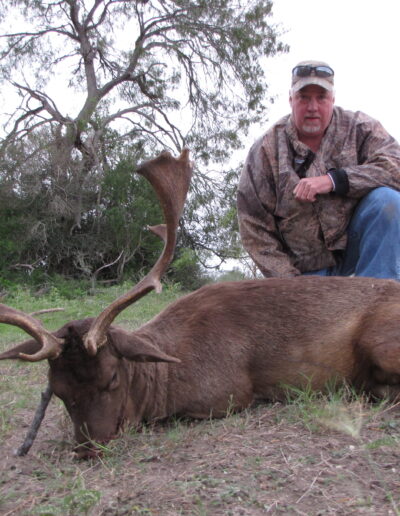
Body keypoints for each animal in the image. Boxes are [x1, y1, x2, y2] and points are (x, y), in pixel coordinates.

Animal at [0, 147, 400, 458]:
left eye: (112, 376)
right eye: (58, 391)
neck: (164, 379)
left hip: (381, 340)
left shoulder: (226, 395)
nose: (88, 448)